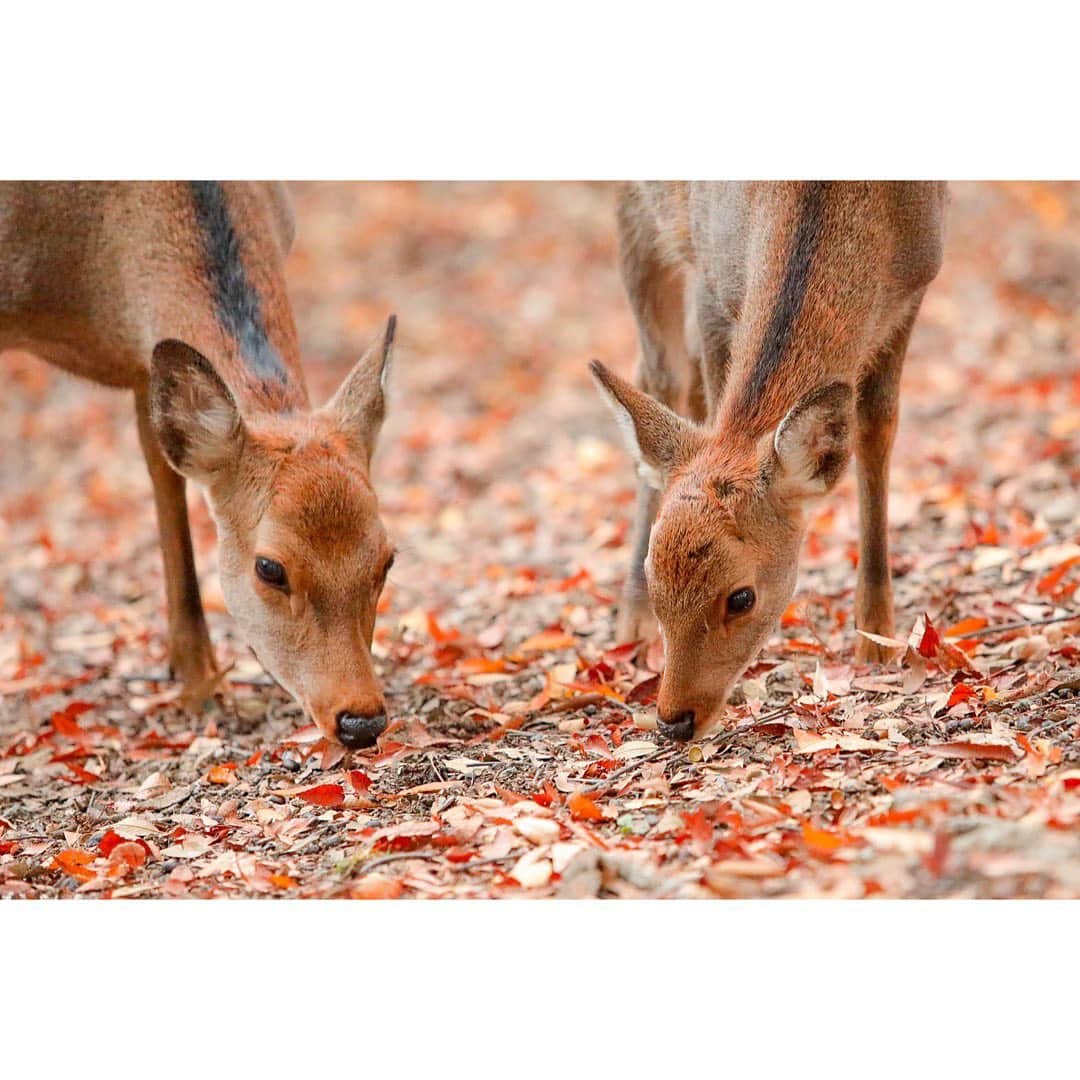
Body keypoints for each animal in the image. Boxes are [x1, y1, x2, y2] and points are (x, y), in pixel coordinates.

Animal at [1, 179, 397, 751]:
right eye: (269, 567)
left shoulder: (145, 359)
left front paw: (199, 683)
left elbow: (166, 478)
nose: (360, 721)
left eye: (387, 560)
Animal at [591, 181, 946, 747]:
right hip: (636, 216)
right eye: (654, 573)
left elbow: (876, 428)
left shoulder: (917, 282)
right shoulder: (712, 286)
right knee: (662, 375)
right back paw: (632, 625)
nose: (673, 720)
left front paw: (877, 640)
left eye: (742, 598)